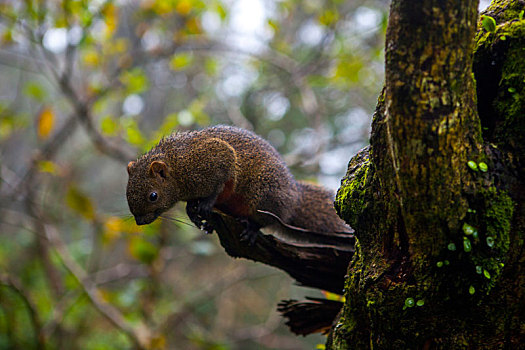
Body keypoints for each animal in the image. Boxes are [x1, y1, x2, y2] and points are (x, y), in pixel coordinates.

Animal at [126, 124, 352, 247]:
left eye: (153, 196)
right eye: (127, 192)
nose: (139, 222)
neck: (176, 166)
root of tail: (295, 197)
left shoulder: (216, 157)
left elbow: (219, 184)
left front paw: (206, 204)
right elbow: (191, 204)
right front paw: (193, 213)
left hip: (265, 195)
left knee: (265, 219)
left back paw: (252, 228)